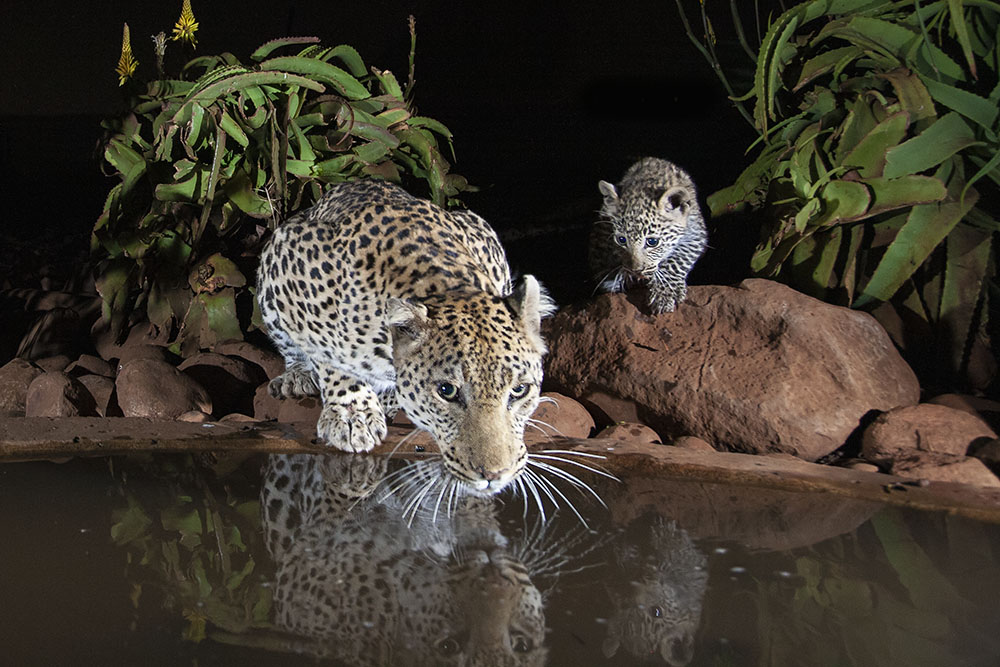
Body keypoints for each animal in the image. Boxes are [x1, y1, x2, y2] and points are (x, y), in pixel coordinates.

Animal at [257, 180, 555, 495]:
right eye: (447, 391)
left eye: (520, 390)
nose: (495, 474)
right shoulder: (290, 254)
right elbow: (327, 354)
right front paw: (353, 415)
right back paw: (298, 378)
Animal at [589, 157, 708, 314]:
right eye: (622, 240)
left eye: (652, 242)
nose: (636, 271)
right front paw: (616, 278)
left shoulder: (695, 234)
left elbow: (677, 261)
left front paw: (665, 293)